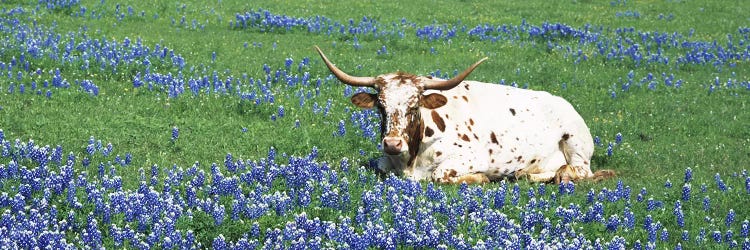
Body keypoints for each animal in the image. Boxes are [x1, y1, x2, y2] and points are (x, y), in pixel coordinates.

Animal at [318, 46, 616, 184]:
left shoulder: (470, 158)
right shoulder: (385, 161)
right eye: (381, 106)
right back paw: (527, 173)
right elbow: (377, 166)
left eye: (414, 106)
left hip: (575, 144)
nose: (392, 143)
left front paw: (481, 178)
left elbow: (440, 175)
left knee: (580, 171)